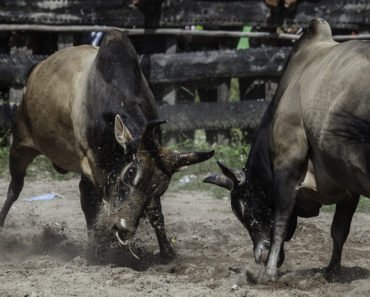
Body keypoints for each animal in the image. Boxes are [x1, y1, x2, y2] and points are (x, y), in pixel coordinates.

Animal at [0, 30, 214, 260]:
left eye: (161, 187)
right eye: (130, 172)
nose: (124, 228)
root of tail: (36, 70)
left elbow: (155, 211)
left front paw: (167, 251)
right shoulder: (92, 166)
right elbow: (96, 204)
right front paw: (98, 247)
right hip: (20, 145)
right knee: (15, 189)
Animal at [205, 19, 370, 278]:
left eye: (244, 208)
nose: (259, 255)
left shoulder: (287, 165)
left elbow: (280, 223)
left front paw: (270, 271)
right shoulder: (348, 184)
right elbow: (339, 230)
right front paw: (332, 271)